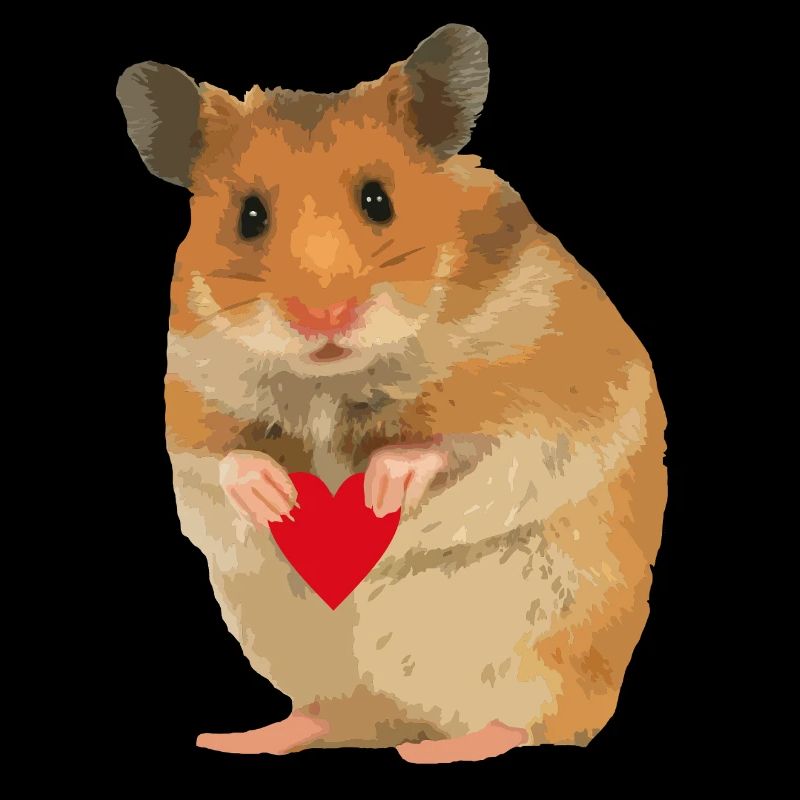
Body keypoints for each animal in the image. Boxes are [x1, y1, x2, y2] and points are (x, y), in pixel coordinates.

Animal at [117, 23, 667, 762]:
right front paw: (282, 500)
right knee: (335, 718)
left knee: (529, 723)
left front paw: (378, 489)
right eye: (249, 216)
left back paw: (440, 750)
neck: (333, 378)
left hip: (540, 647)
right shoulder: (192, 397)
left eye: (379, 200)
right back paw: (239, 739)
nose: (323, 317)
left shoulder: (542, 391)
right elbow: (225, 460)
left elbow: (466, 444)